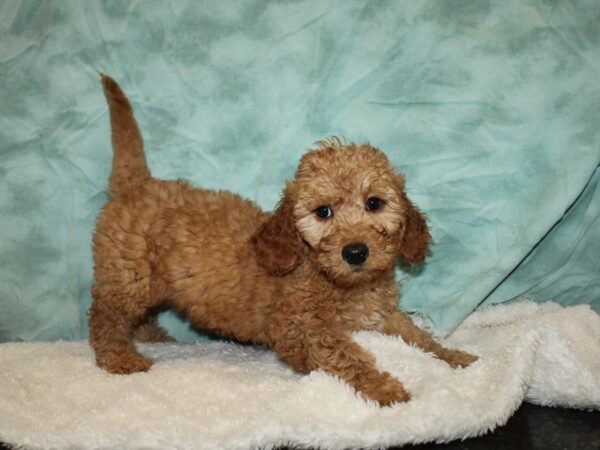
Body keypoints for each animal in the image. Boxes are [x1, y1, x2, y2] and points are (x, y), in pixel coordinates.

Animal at [89, 75, 476, 406]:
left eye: (374, 204)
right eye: (323, 212)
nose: (355, 252)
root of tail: (138, 184)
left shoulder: (382, 317)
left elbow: (419, 337)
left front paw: (456, 357)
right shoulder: (298, 328)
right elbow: (346, 354)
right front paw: (384, 387)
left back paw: (151, 336)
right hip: (126, 279)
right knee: (105, 318)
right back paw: (119, 357)